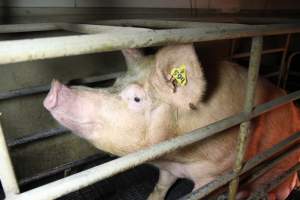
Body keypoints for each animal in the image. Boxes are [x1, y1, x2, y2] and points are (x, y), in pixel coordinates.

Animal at [42, 44, 300, 199]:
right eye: (115, 81)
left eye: (137, 98)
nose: (55, 87)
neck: (181, 156)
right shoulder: (169, 168)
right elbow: (161, 186)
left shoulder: (218, 174)